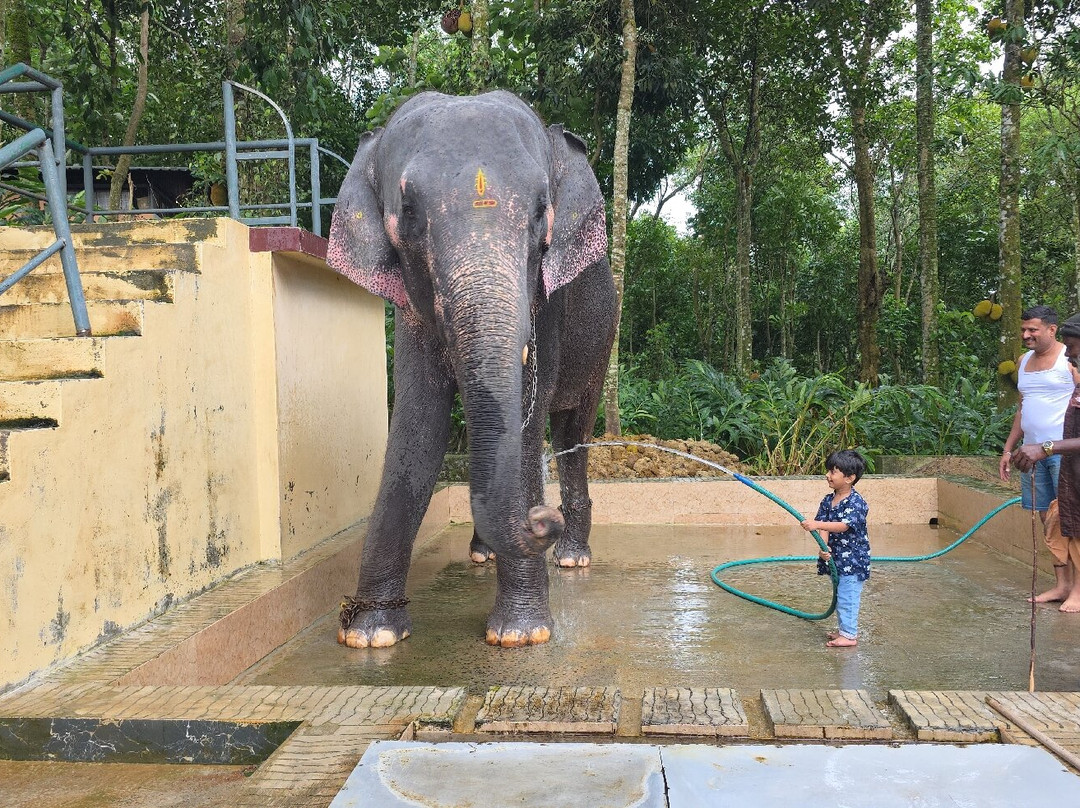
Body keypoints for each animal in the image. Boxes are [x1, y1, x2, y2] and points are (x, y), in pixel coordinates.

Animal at [326, 90, 618, 648]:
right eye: (408, 212)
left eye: (542, 212)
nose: (541, 520)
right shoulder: (411, 306)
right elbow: (419, 423)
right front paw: (371, 635)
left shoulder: (549, 306)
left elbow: (524, 429)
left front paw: (521, 635)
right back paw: (486, 553)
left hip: (601, 340)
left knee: (573, 429)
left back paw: (572, 558)